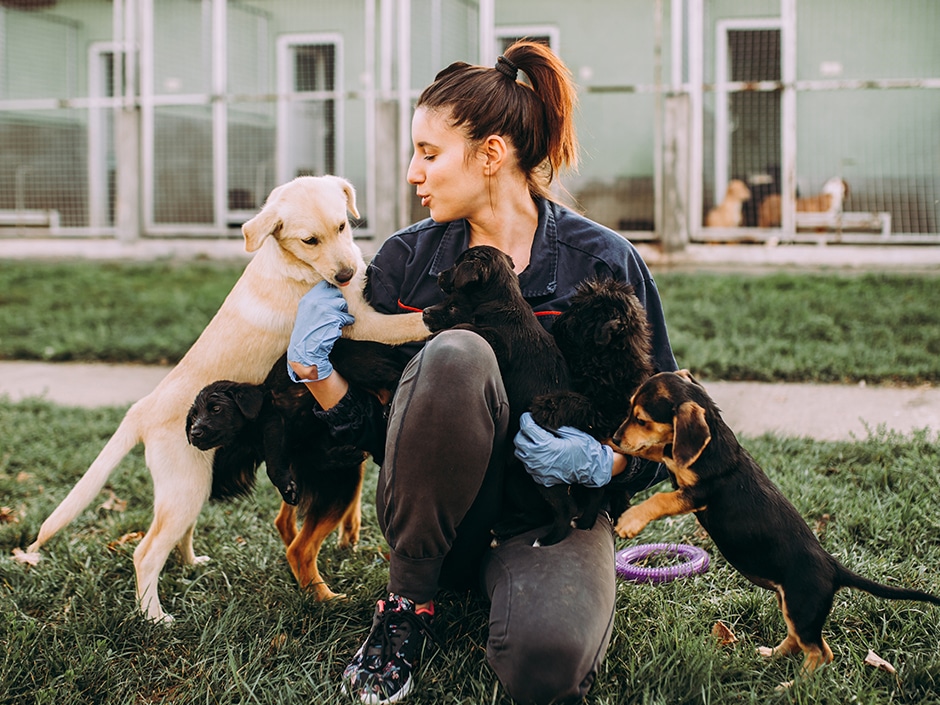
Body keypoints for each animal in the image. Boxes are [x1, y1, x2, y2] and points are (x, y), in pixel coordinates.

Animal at [24, 176, 430, 620]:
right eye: (309, 240)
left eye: (342, 226)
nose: (346, 274)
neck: (291, 265)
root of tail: (142, 410)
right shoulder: (362, 323)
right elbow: (409, 322)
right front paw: (447, 312)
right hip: (185, 486)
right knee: (146, 552)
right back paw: (155, 617)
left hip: (194, 484)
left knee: (178, 535)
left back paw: (191, 563)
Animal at [422, 246, 576, 544]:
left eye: (456, 265)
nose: (439, 275)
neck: (501, 300)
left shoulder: (499, 344)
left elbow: (470, 327)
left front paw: (443, 331)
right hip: (514, 479)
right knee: (537, 513)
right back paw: (504, 528)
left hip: (542, 475)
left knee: (562, 510)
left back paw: (547, 538)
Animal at [612, 372, 936, 680]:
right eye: (629, 411)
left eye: (641, 419)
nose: (615, 438)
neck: (712, 445)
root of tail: (833, 567)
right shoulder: (676, 462)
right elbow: (657, 450)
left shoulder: (698, 493)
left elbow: (660, 497)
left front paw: (630, 520)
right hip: (792, 606)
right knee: (804, 642)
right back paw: (773, 656)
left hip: (801, 607)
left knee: (821, 652)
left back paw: (792, 687)